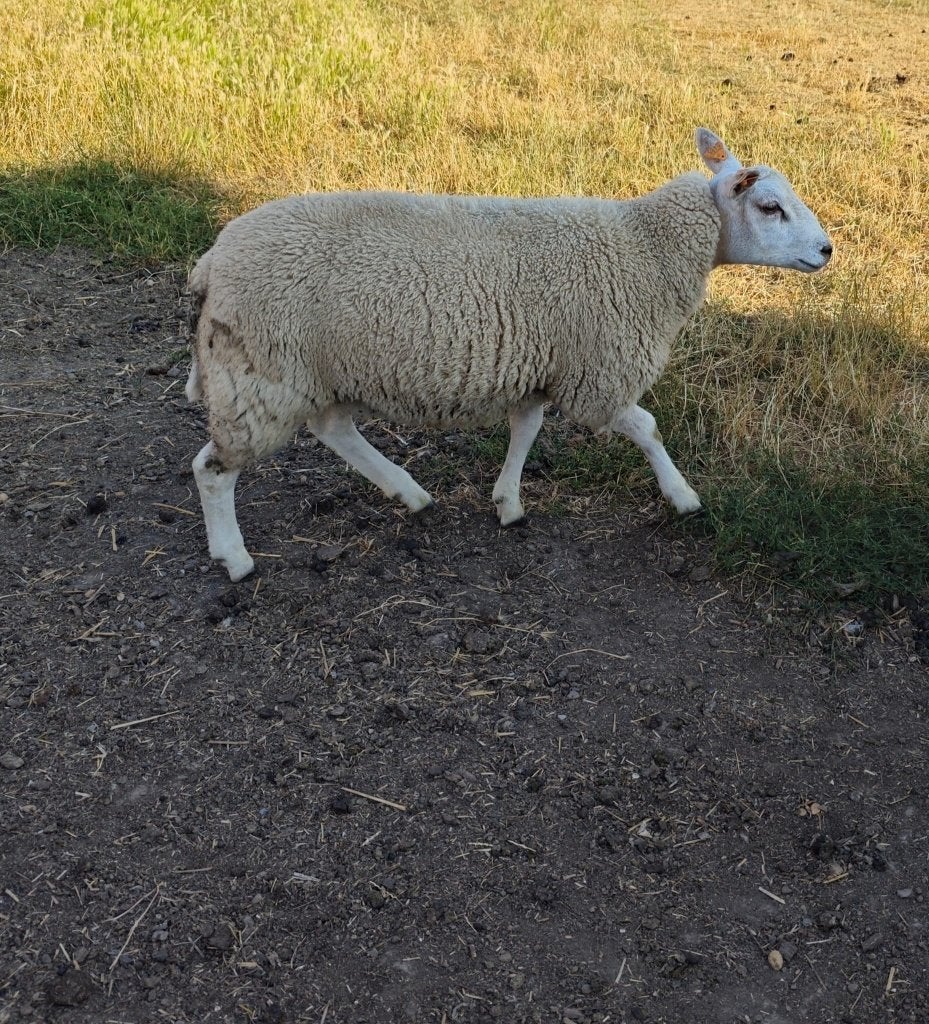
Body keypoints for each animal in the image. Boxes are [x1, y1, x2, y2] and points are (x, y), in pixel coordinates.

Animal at [185, 128, 832, 581]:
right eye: (770, 207)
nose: (828, 250)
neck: (645, 249)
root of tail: (212, 260)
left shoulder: (542, 366)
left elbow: (525, 431)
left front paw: (508, 502)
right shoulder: (596, 374)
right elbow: (646, 427)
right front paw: (683, 497)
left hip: (311, 369)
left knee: (333, 428)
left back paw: (408, 492)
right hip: (261, 374)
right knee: (213, 468)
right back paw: (234, 558)